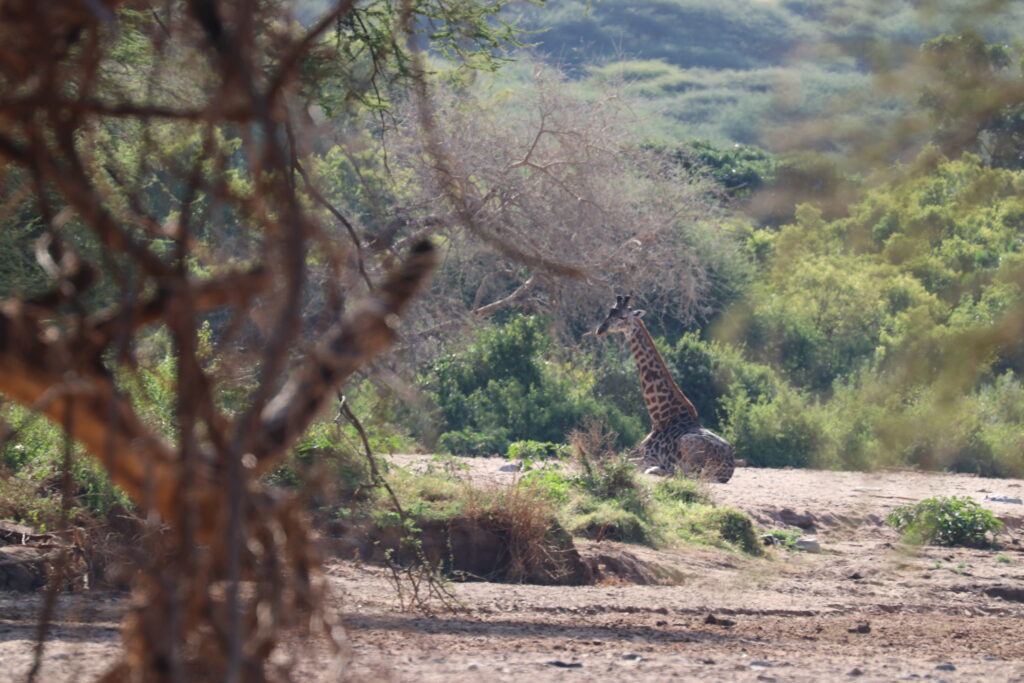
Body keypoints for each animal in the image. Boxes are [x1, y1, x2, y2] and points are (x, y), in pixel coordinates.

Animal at [593, 296, 737, 483]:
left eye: (623, 317)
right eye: (609, 313)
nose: (600, 330)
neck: (659, 416)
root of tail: (728, 470)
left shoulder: (649, 457)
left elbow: (621, 462)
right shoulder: (640, 453)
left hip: (689, 448)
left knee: (688, 474)